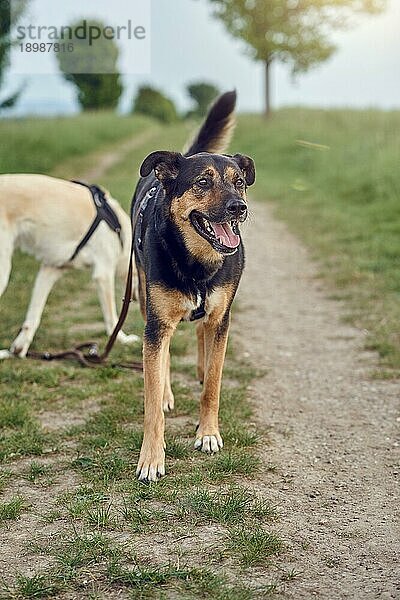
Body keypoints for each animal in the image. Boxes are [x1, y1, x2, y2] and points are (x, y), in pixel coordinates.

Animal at [0, 172, 138, 356]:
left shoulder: (49, 270)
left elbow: (33, 315)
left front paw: (20, 349)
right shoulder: (104, 273)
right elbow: (112, 319)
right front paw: (122, 339)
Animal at [133, 90, 255, 482]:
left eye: (239, 181)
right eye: (203, 182)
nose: (239, 207)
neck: (197, 262)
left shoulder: (223, 318)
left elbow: (214, 384)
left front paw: (209, 433)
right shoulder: (156, 326)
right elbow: (151, 400)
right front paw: (151, 459)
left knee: (203, 338)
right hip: (144, 301)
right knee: (164, 357)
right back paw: (168, 391)